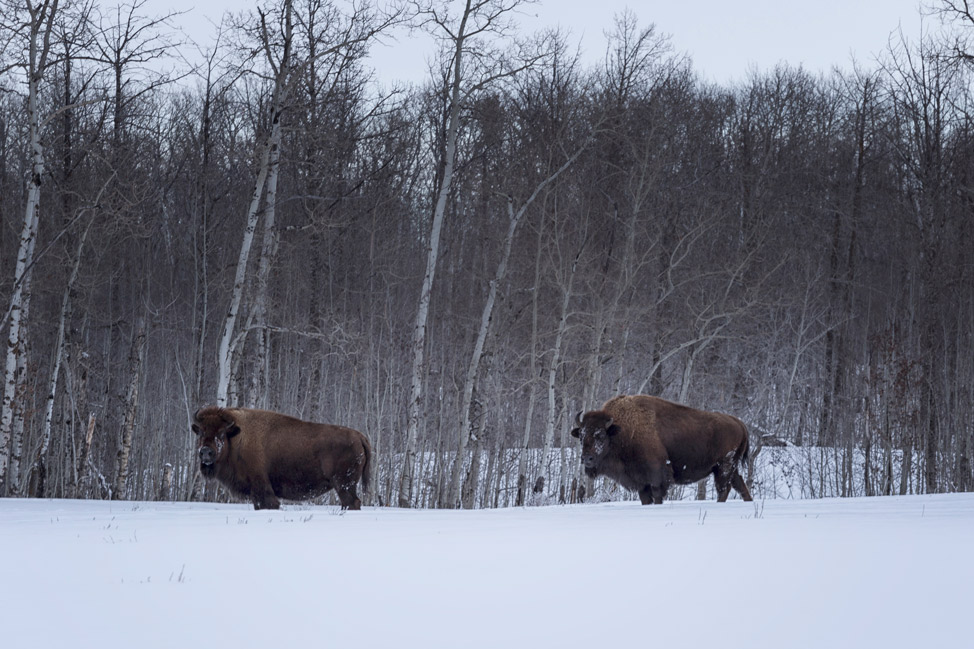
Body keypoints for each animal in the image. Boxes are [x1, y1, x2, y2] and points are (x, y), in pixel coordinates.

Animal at [192, 404, 374, 512]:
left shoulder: (262, 489)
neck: (237, 437)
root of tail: (359, 436)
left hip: (344, 484)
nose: (206, 452)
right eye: (201, 432)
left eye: (221, 433)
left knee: (352, 502)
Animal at [572, 392, 756, 504]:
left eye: (600, 435)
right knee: (739, 485)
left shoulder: (657, 478)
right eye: (581, 436)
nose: (587, 458)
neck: (622, 431)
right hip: (729, 468)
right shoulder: (641, 483)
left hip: (723, 467)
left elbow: (657, 496)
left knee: (724, 489)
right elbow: (646, 499)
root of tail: (738, 422)